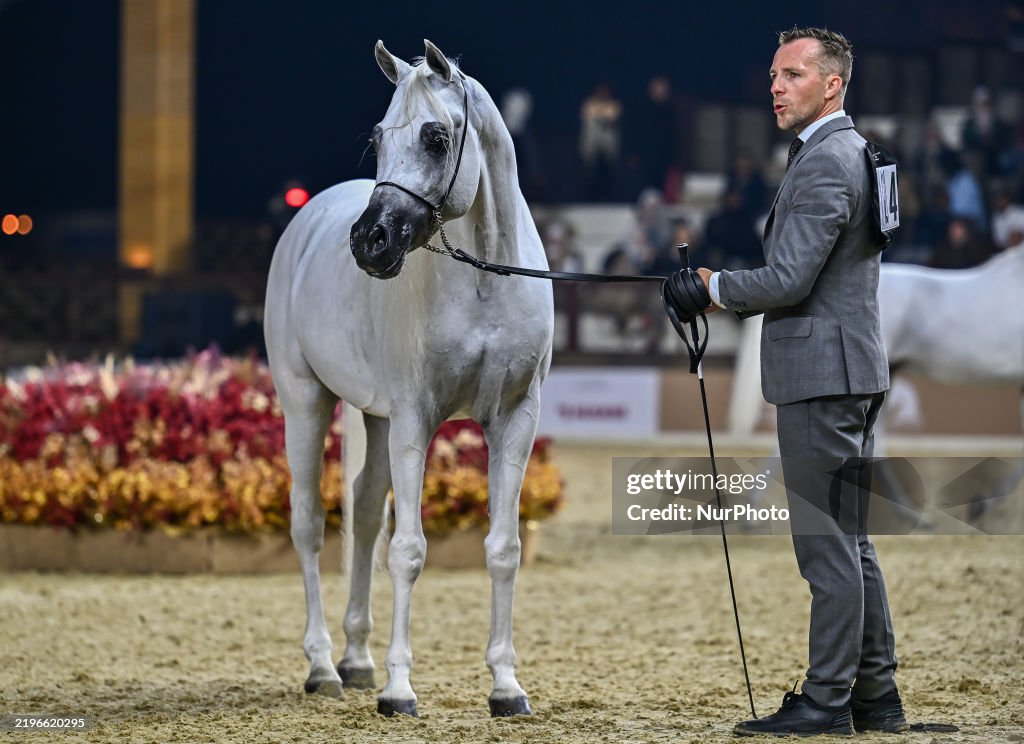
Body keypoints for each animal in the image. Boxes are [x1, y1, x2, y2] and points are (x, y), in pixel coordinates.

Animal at [263, 40, 553, 718]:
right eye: (378, 135)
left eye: (435, 136)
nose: (370, 242)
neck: (485, 283)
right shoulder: (415, 419)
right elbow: (409, 550)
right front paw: (399, 690)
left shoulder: (515, 419)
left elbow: (503, 549)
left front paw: (506, 687)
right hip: (306, 402)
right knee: (310, 524)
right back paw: (324, 666)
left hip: (374, 417)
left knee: (365, 510)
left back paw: (356, 659)